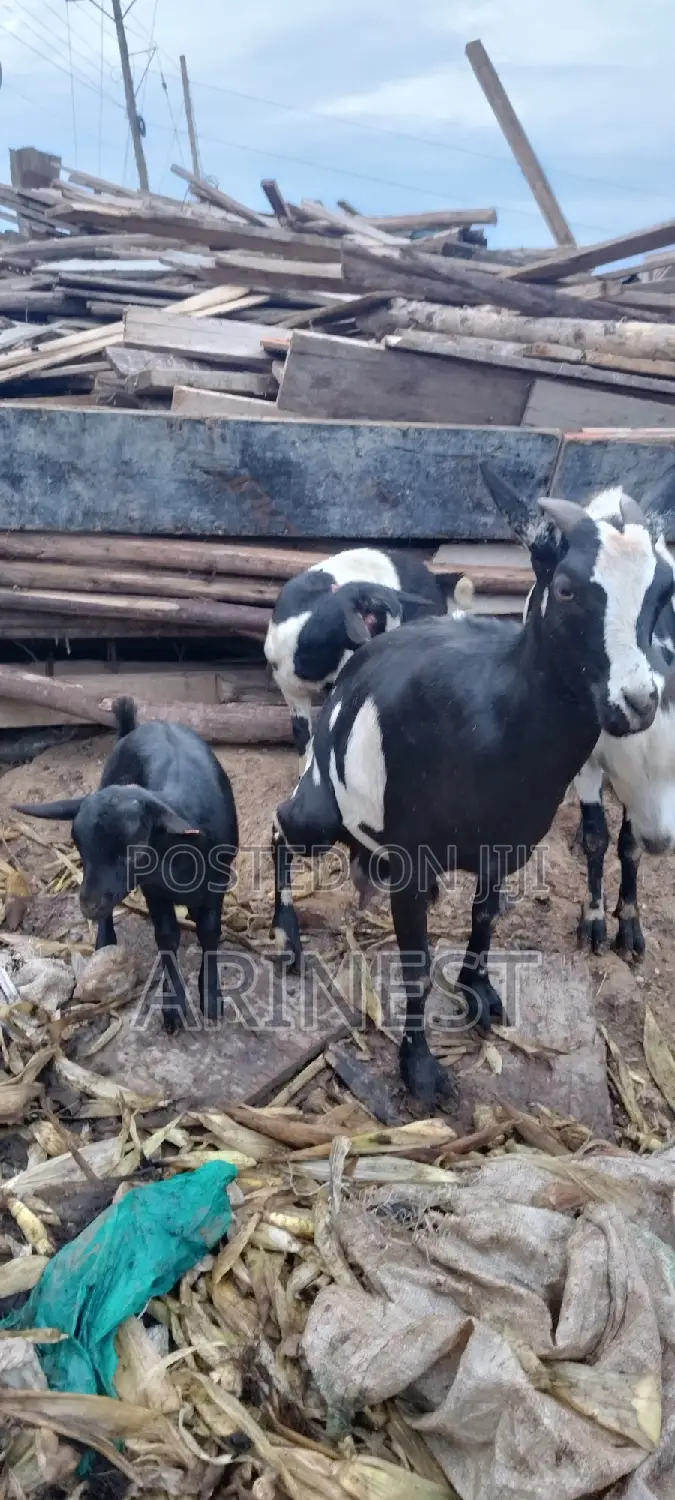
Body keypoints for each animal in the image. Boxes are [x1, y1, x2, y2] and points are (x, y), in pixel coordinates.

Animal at [14, 698, 238, 1033]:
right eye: (79, 847)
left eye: (133, 851)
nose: (88, 906)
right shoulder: (154, 888)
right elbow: (167, 937)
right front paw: (173, 1006)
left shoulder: (217, 882)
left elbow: (210, 931)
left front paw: (211, 996)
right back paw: (105, 939)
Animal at [491, 467, 675, 959]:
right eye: (565, 589)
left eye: (665, 588)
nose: (640, 701)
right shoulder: (584, 756)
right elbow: (597, 836)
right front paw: (593, 922)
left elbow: (629, 844)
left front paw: (629, 926)